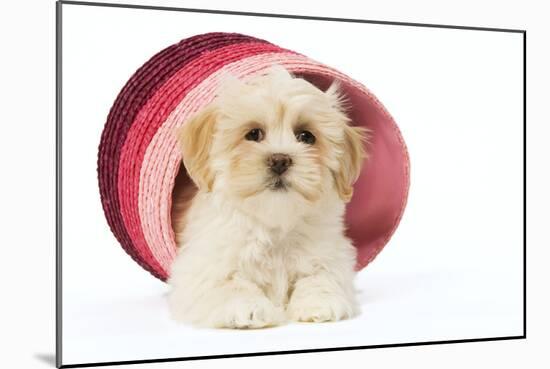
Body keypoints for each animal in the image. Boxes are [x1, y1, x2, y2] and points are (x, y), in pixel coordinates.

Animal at [168, 66, 366, 328]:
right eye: (253, 134)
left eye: (306, 136)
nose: (280, 160)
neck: (274, 224)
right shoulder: (201, 267)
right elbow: (230, 283)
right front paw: (248, 307)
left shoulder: (332, 253)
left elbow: (321, 275)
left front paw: (319, 302)